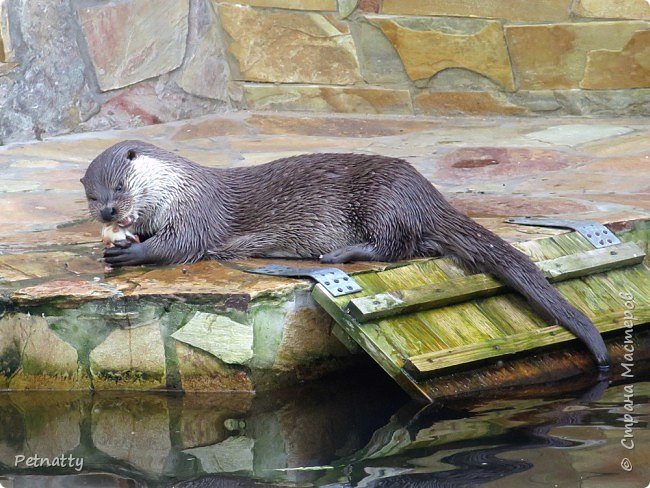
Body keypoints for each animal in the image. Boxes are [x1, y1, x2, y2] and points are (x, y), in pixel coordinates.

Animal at [79, 141, 608, 370]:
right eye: (91, 195)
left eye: (120, 186)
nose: (109, 210)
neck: (176, 189)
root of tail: (428, 193)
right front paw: (118, 241)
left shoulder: (197, 214)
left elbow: (180, 246)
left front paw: (131, 254)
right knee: (422, 245)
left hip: (383, 202)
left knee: (396, 246)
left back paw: (341, 251)